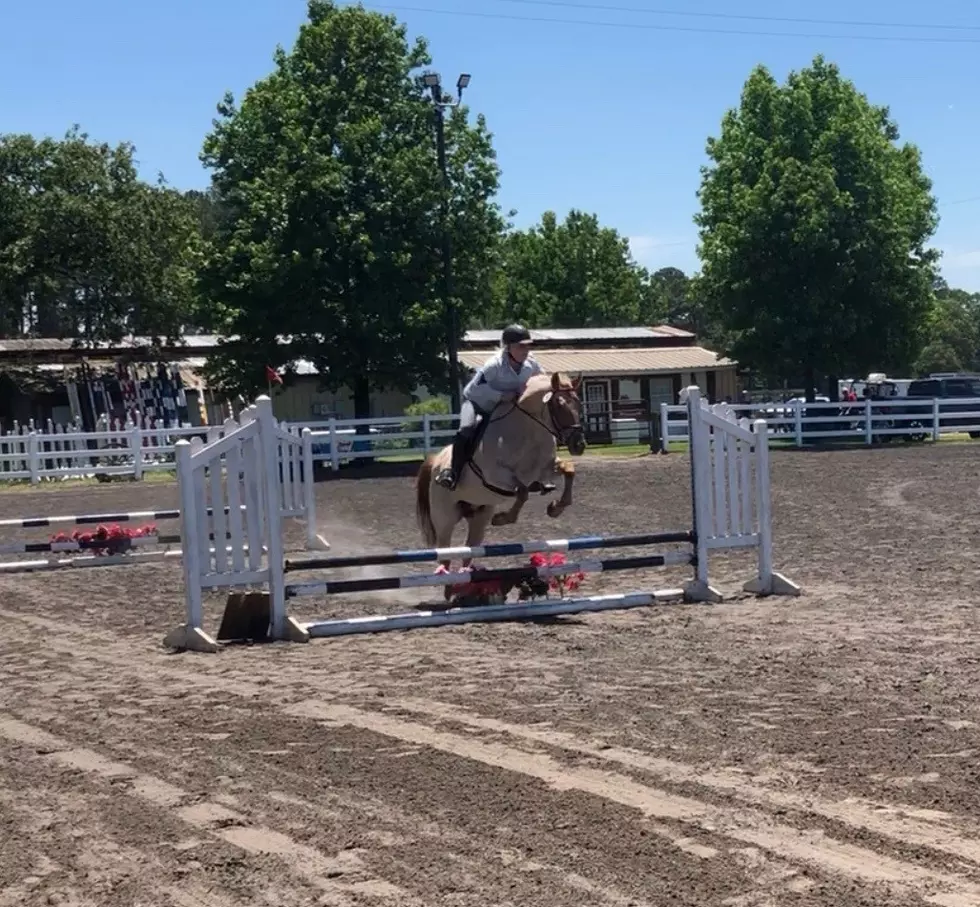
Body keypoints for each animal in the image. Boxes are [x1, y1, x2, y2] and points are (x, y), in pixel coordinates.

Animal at [412, 372, 580, 580]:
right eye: (558, 403)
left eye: (578, 402)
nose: (579, 444)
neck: (528, 431)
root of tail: (435, 460)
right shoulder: (495, 476)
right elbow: (522, 492)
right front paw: (503, 518)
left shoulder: (544, 469)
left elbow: (569, 470)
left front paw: (556, 507)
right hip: (444, 518)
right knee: (445, 554)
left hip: (479, 516)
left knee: (469, 550)